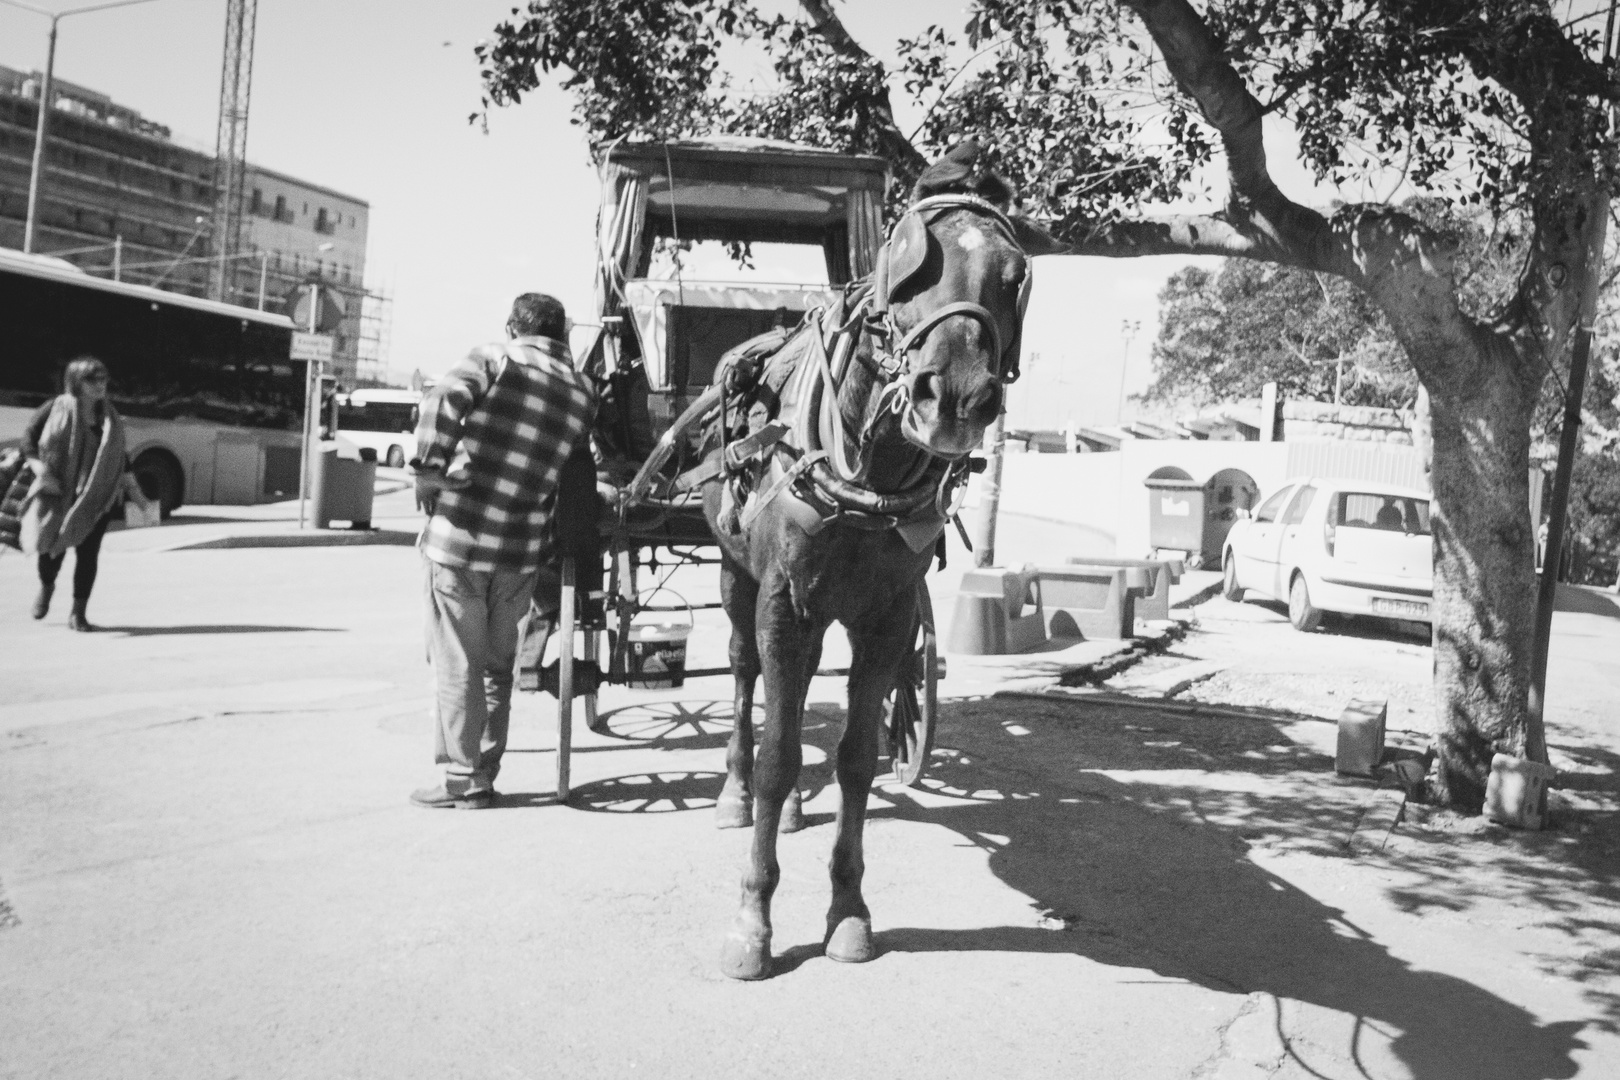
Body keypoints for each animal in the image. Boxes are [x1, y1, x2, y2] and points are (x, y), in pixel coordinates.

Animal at [696, 141, 1049, 977]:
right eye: (906, 260)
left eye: (1015, 275)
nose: (954, 394)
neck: (865, 476)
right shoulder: (782, 603)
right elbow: (778, 752)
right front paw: (753, 920)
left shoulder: (886, 619)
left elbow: (856, 757)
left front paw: (848, 909)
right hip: (735, 577)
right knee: (746, 679)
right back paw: (734, 793)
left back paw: (793, 809)